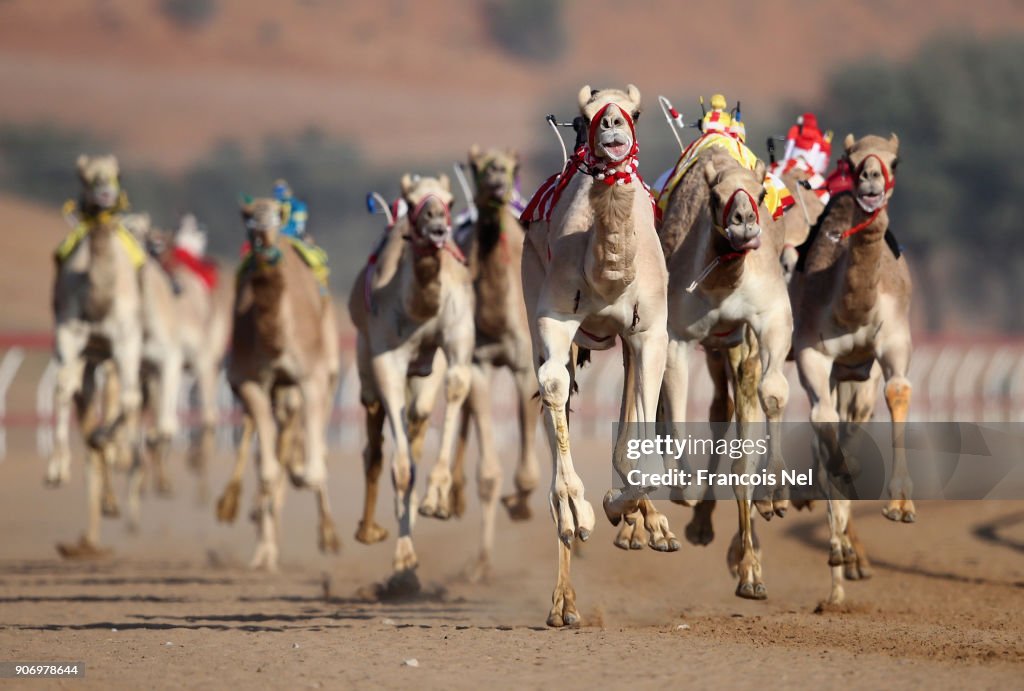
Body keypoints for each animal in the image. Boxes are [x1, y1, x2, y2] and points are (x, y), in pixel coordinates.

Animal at [225, 198, 341, 570]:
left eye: (278, 214)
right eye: (248, 219)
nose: (264, 234)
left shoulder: (311, 377)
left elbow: (310, 467)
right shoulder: (246, 380)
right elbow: (266, 468)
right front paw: (263, 549)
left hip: (328, 368)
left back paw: (329, 536)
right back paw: (264, 548)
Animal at [347, 173, 474, 589]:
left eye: (450, 200)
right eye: (411, 198)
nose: (437, 227)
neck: (417, 308)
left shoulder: (457, 337)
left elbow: (456, 386)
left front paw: (437, 499)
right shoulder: (384, 357)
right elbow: (400, 469)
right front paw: (403, 560)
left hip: (423, 376)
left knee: (417, 419)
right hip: (363, 357)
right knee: (374, 440)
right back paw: (369, 531)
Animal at [521, 84, 677, 627]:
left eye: (636, 112)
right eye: (583, 113)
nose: (610, 124)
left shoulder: (649, 328)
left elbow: (643, 418)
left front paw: (622, 507)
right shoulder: (552, 316)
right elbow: (551, 386)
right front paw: (580, 509)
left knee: (632, 403)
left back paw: (649, 525)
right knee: (557, 395)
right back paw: (564, 604)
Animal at [658, 148, 793, 600]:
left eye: (762, 193)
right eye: (715, 199)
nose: (744, 222)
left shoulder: (768, 317)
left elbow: (772, 393)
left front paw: (775, 497)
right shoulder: (678, 331)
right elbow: (675, 397)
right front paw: (682, 486)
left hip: (732, 344)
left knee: (732, 405)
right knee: (712, 406)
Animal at [791, 133, 910, 605]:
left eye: (895, 160)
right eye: (850, 159)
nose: (871, 179)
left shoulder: (892, 339)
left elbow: (897, 392)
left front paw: (901, 505)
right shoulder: (811, 350)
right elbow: (822, 426)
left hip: (855, 376)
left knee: (850, 425)